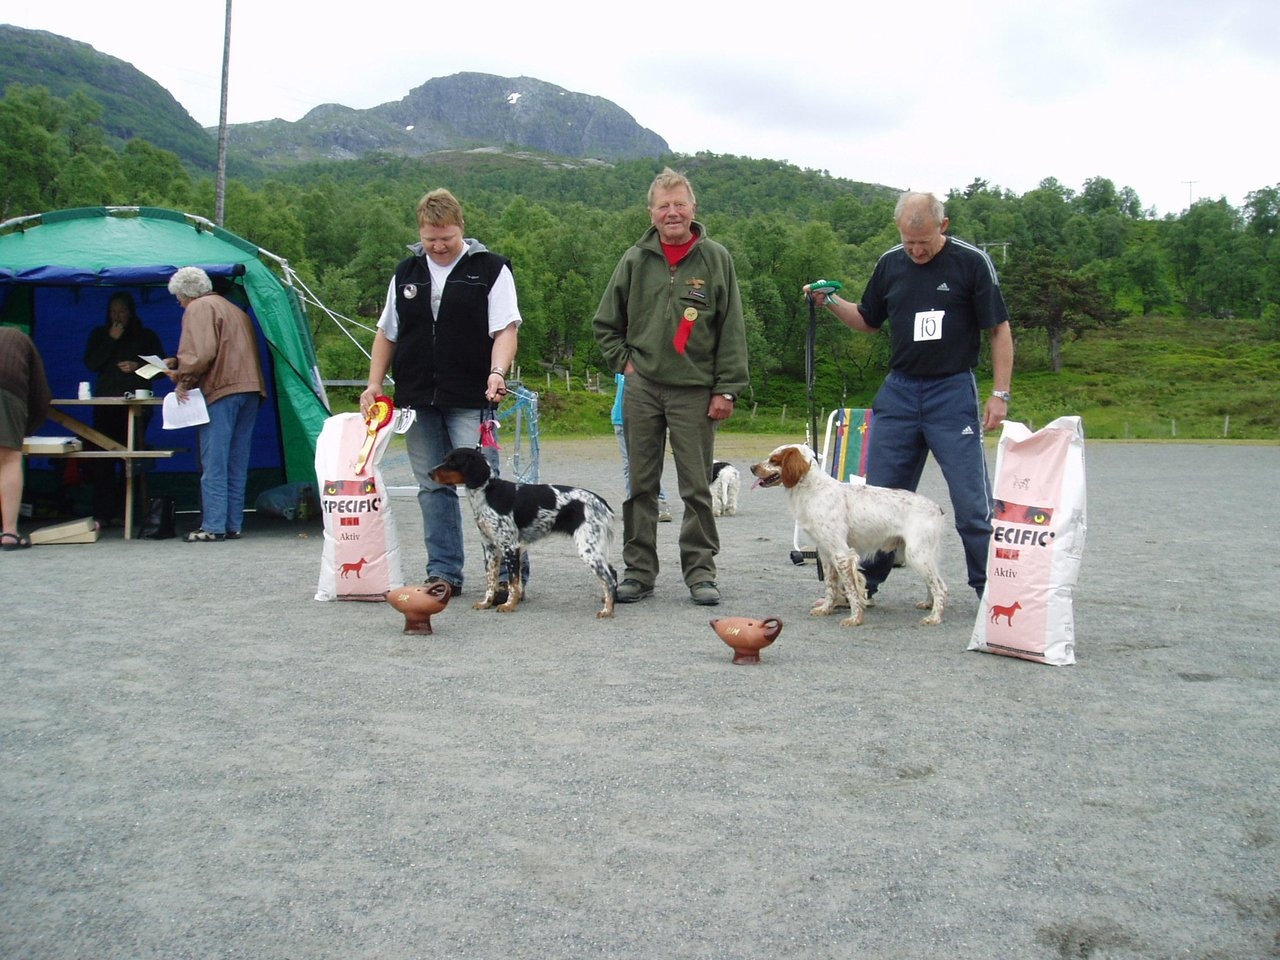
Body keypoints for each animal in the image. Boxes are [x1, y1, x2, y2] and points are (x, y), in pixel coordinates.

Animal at [427, 448, 616, 619]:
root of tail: (600, 502)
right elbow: (491, 580)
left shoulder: (510, 547)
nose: (429, 473)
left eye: (453, 462)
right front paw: (486, 603)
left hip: (588, 549)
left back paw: (607, 610)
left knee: (609, 578)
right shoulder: (490, 548)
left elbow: (513, 582)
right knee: (612, 573)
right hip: (594, 548)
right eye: (445, 459)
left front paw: (509, 605)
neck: (487, 494)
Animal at [747, 445, 947, 627]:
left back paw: (934, 617)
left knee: (940, 588)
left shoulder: (842, 554)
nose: (752, 467)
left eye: (774, 460)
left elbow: (852, 590)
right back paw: (928, 604)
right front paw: (826, 609)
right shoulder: (825, 553)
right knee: (936, 584)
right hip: (920, 555)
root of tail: (936, 507)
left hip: (917, 555)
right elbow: (830, 586)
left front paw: (855, 619)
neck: (813, 490)